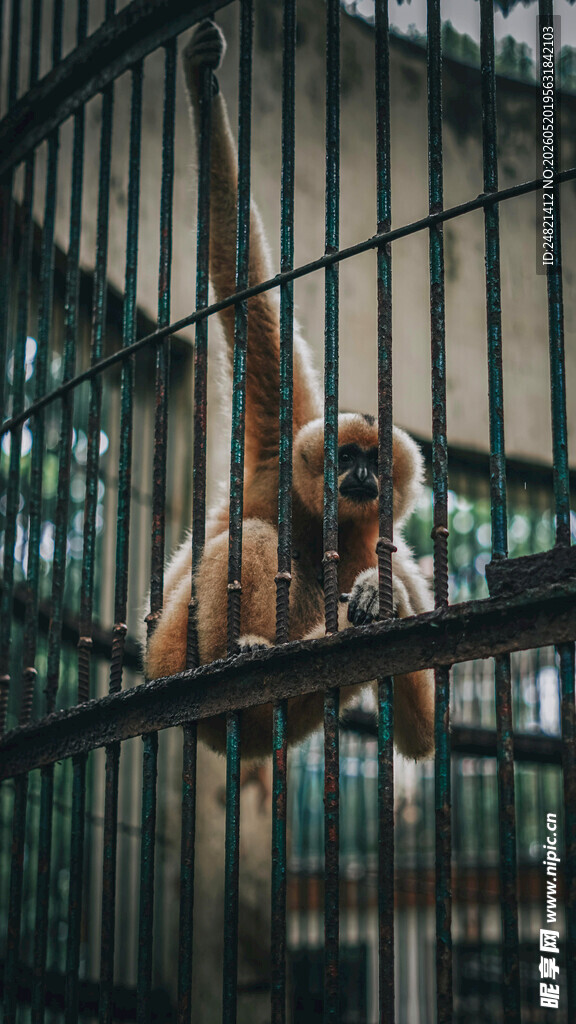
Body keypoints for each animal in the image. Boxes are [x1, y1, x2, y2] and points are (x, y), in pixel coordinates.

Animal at [143, 19, 435, 762]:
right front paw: (201, 81)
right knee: (252, 537)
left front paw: (380, 599)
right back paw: (236, 659)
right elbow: (244, 285)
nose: (360, 475)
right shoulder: (284, 432)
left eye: (373, 461)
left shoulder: (395, 548)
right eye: (344, 457)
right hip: (168, 651)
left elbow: (422, 733)